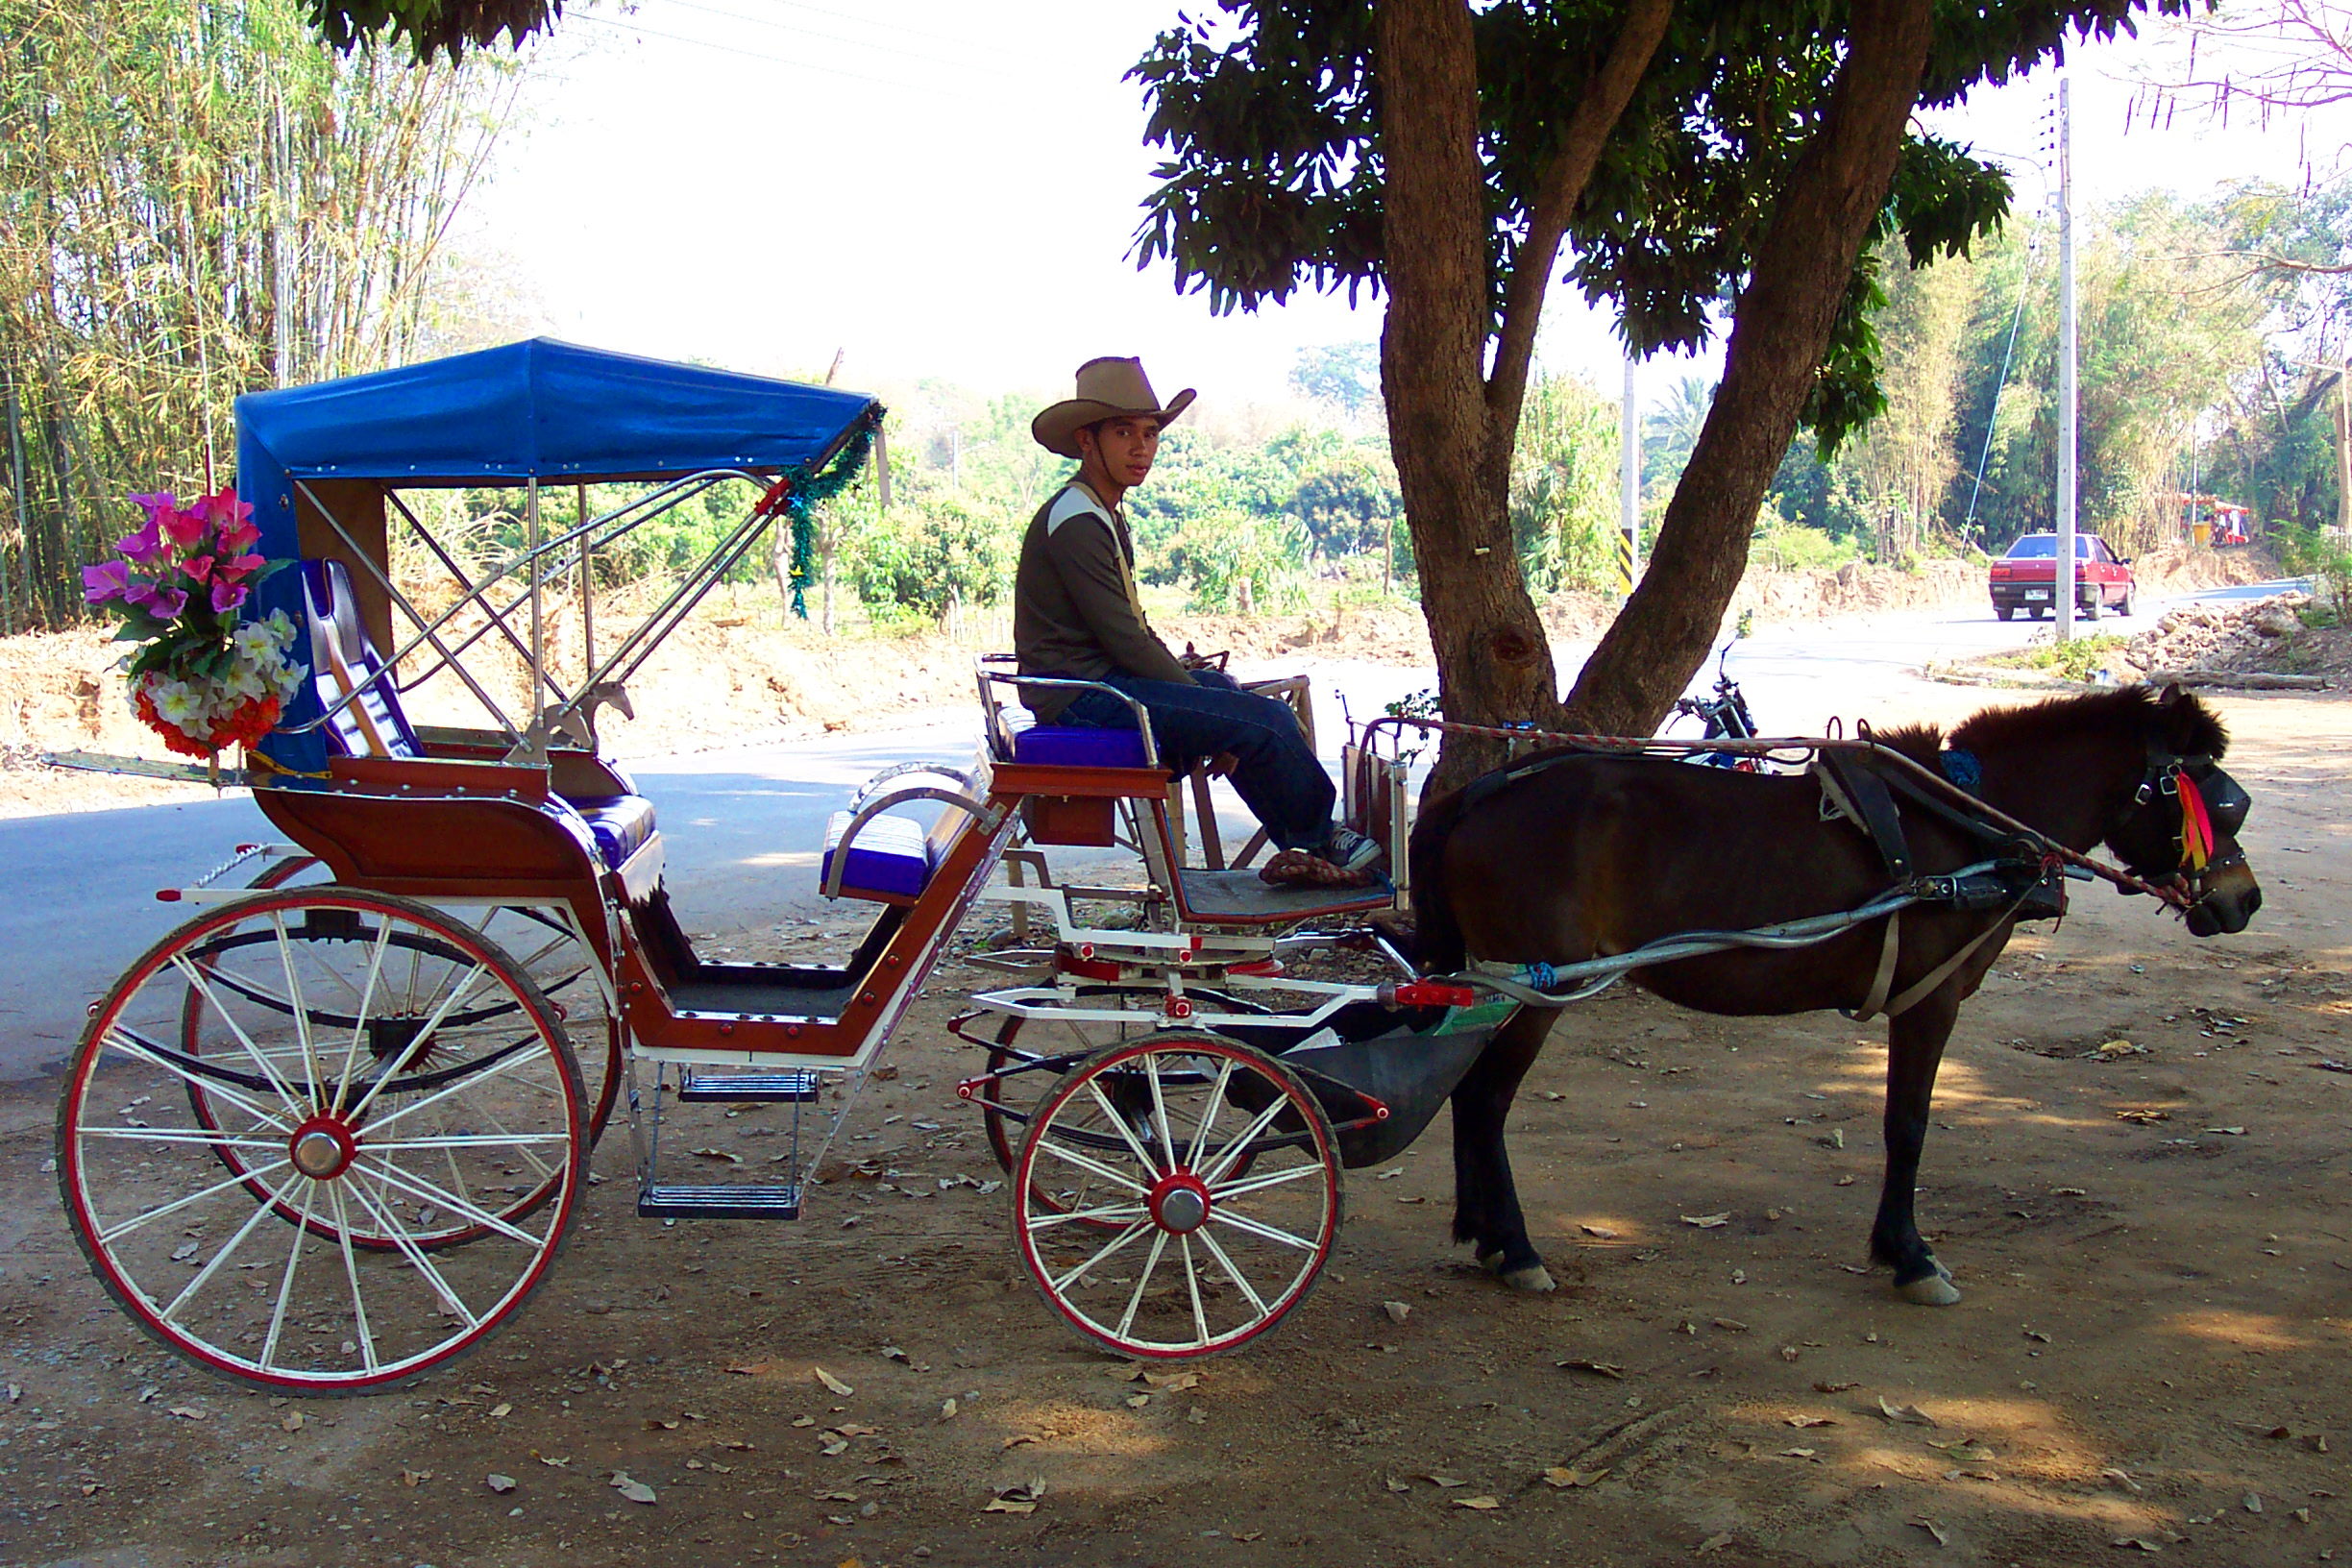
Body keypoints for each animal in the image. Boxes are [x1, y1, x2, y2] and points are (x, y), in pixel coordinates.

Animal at [1402, 686, 2266, 1297]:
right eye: (2219, 799)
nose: (2244, 900)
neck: (1968, 829)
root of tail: (1472, 795)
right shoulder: (1929, 1001)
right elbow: (1907, 1125)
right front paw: (1909, 1255)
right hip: (1533, 986)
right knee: (1486, 1100)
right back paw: (1515, 1246)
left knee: (1469, 1094)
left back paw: (1483, 1232)